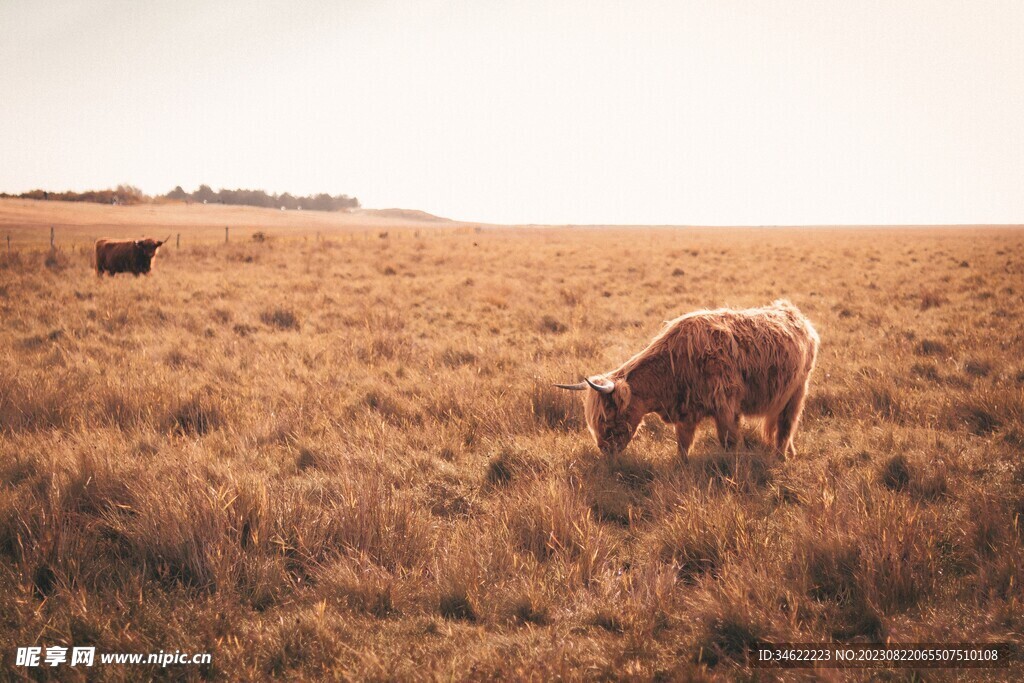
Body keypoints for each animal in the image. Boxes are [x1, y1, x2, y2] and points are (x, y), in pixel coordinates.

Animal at [557, 299, 819, 458]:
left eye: (607, 415)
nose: (604, 450)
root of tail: (794, 313)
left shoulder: (726, 407)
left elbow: (729, 441)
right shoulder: (685, 413)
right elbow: (682, 446)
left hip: (797, 391)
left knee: (786, 426)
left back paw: (781, 457)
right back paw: (791, 454)